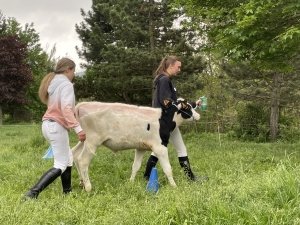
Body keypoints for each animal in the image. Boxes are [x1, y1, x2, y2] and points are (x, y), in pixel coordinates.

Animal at [71, 98, 200, 192]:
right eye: (188, 107)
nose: (198, 115)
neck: (163, 119)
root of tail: (82, 104)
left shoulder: (140, 147)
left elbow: (135, 166)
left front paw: (131, 182)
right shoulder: (160, 147)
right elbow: (168, 168)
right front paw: (174, 186)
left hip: (84, 140)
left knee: (75, 153)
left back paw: (81, 183)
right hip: (92, 141)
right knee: (82, 160)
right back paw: (88, 187)